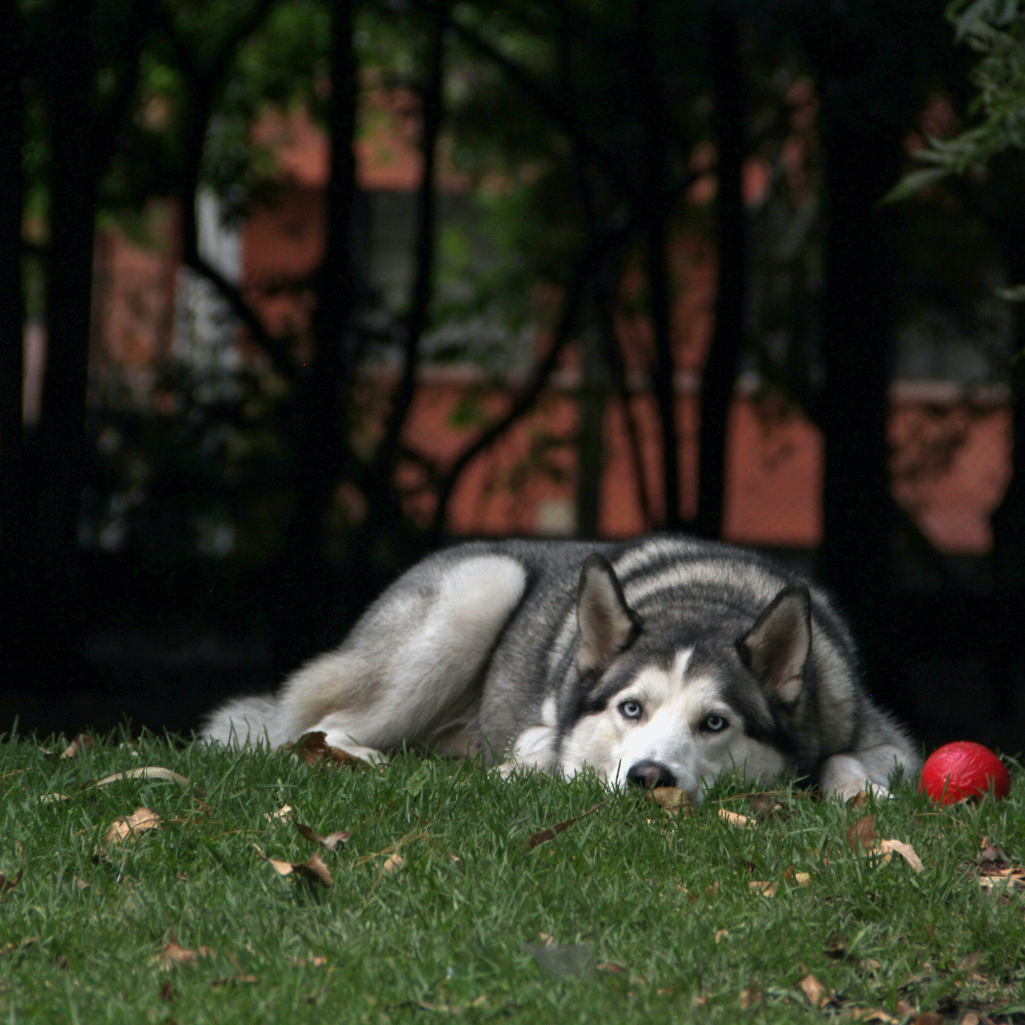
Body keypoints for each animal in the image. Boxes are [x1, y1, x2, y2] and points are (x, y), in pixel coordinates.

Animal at [203, 537, 918, 799]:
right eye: (631, 709)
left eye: (715, 724)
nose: (649, 777)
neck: (706, 601)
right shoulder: (551, 728)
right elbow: (548, 748)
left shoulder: (886, 739)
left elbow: (846, 758)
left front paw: (859, 793)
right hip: (478, 588)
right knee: (312, 725)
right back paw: (360, 756)